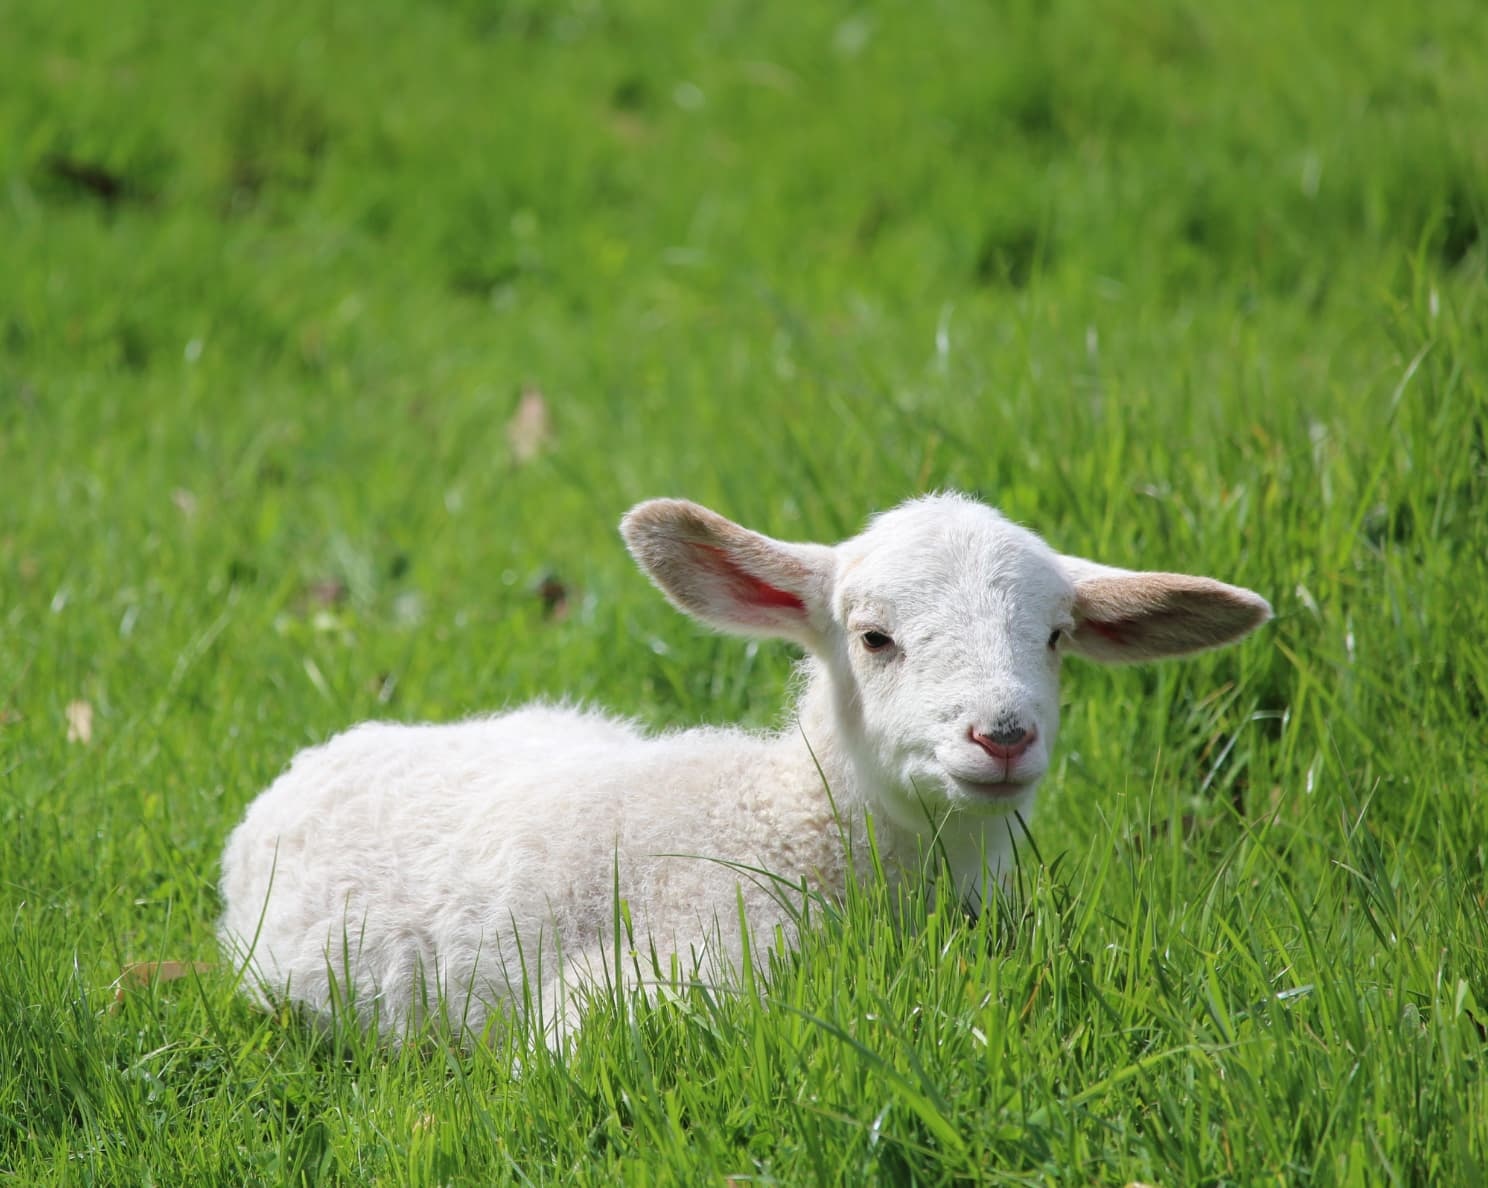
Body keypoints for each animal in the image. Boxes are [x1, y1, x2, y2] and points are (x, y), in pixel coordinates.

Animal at [218, 493, 1272, 1043]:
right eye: (874, 637)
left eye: (1055, 637)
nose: (1003, 736)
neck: (788, 827)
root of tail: (317, 757)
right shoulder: (650, 977)